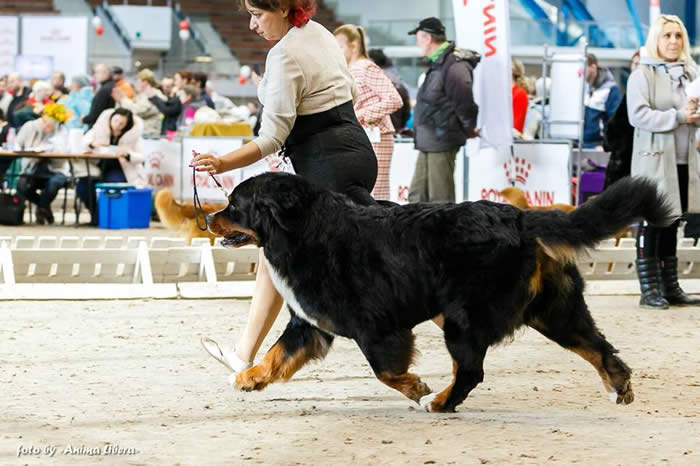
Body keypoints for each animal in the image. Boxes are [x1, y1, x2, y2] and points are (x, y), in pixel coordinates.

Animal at [206, 174, 672, 412]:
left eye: (234, 204)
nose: (209, 217)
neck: (306, 229)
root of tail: (520, 217)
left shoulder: (376, 327)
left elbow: (386, 371)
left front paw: (416, 388)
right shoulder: (310, 324)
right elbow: (276, 354)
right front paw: (248, 377)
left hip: (462, 318)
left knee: (470, 372)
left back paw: (440, 402)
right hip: (554, 311)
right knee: (598, 347)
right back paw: (619, 387)